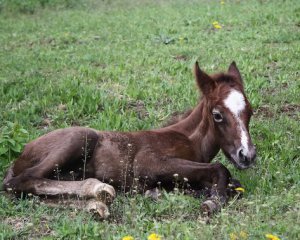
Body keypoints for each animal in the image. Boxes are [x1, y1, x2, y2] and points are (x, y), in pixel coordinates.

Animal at [1, 61, 255, 218]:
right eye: (217, 114)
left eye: (250, 111)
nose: (247, 155)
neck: (189, 139)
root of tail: (20, 156)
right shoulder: (147, 162)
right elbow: (220, 168)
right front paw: (213, 200)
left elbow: (234, 183)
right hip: (81, 136)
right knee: (21, 182)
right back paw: (98, 188)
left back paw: (96, 204)